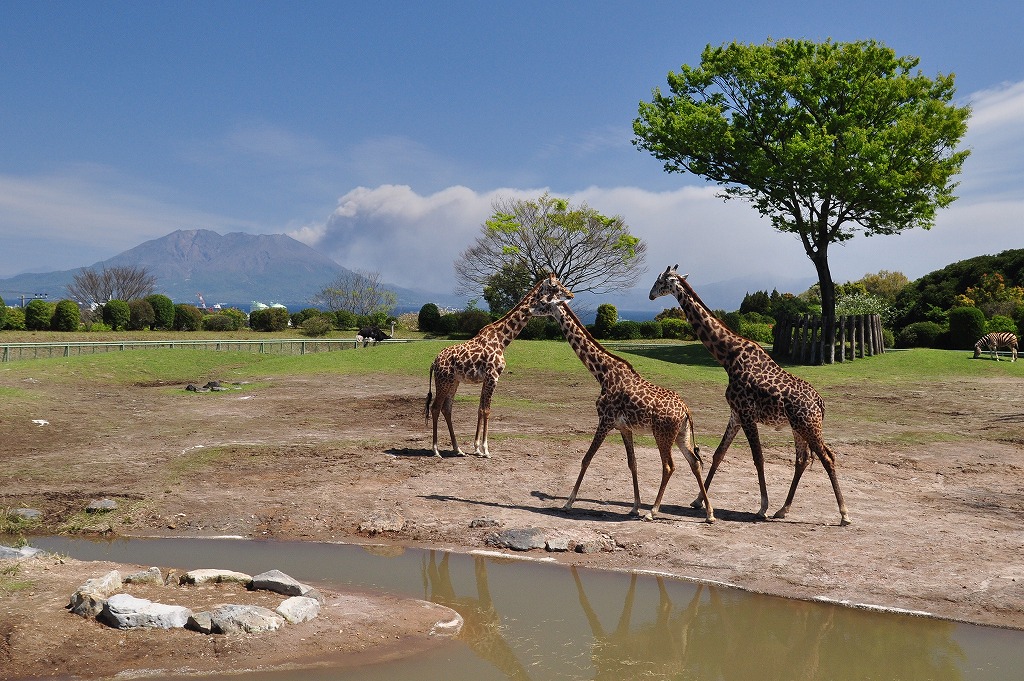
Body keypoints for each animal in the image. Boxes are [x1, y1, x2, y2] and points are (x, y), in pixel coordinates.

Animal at [419, 272, 573, 456]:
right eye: (555, 286)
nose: (570, 295)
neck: (502, 340)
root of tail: (434, 362)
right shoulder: (493, 376)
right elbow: (487, 410)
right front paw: (486, 450)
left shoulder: (486, 378)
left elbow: (480, 409)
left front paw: (477, 448)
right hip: (443, 380)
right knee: (436, 408)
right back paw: (436, 450)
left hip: (453, 381)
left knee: (446, 409)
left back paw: (458, 449)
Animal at [528, 294, 712, 522]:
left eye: (544, 302)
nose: (529, 309)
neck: (602, 373)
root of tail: (686, 410)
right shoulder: (624, 427)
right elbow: (632, 463)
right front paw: (635, 506)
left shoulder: (605, 420)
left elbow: (586, 459)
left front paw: (568, 503)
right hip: (681, 435)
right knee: (694, 463)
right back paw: (709, 513)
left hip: (662, 434)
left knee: (669, 466)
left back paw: (653, 511)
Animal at [651, 261, 851, 524]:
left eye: (660, 281)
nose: (650, 295)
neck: (727, 356)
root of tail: (820, 403)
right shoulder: (735, 413)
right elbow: (718, 454)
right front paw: (698, 501)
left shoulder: (746, 413)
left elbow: (758, 458)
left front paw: (762, 507)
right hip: (799, 426)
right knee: (802, 460)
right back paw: (783, 509)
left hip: (809, 424)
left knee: (827, 457)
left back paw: (844, 514)